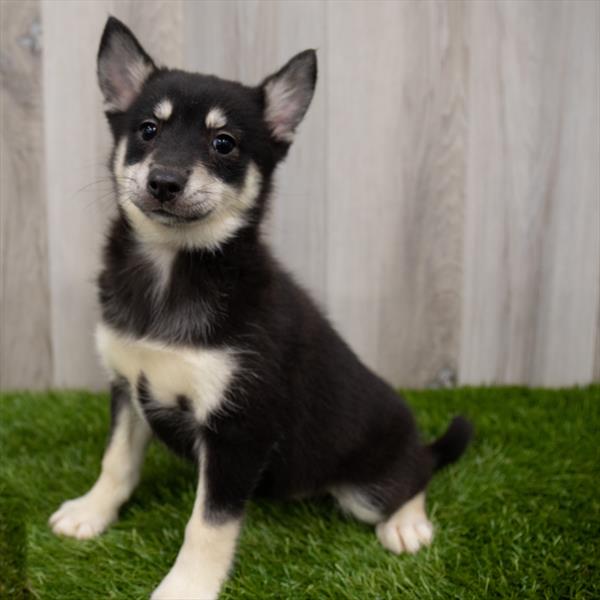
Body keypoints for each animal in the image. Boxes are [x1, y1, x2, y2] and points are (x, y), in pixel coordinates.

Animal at [49, 16, 474, 596]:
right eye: (148, 130)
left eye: (224, 143)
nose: (164, 182)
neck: (171, 269)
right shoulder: (128, 386)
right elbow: (116, 461)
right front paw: (91, 511)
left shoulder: (237, 431)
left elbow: (208, 523)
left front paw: (186, 587)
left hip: (368, 486)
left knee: (415, 475)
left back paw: (407, 523)